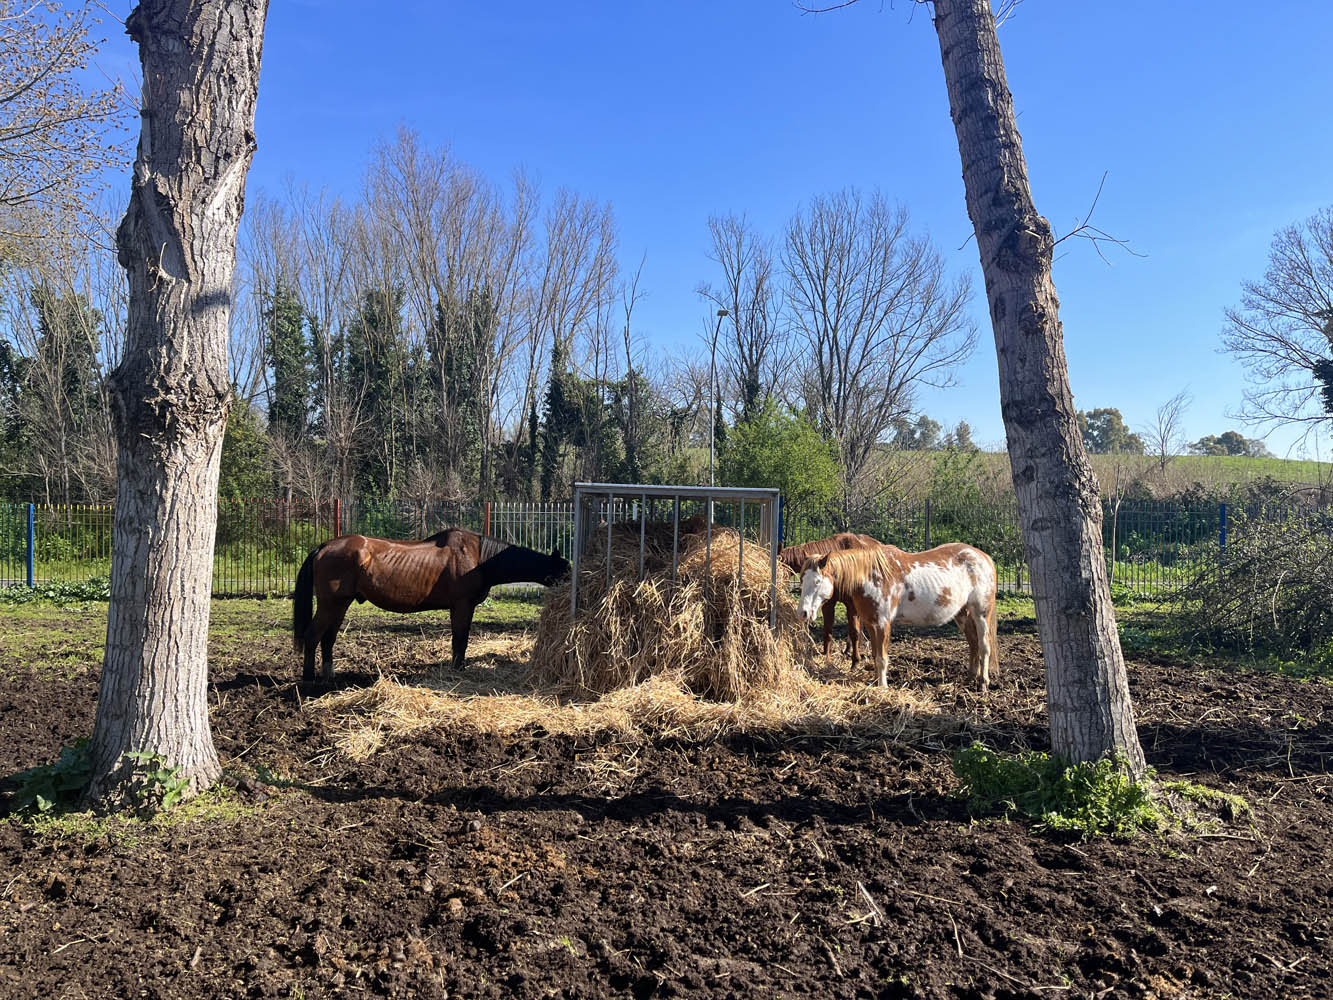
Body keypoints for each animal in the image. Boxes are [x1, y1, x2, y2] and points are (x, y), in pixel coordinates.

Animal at [291, 528, 567, 688]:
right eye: (565, 569)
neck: (480, 558)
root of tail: (323, 547)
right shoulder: (461, 606)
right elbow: (460, 640)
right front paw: (457, 671)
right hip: (330, 604)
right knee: (312, 636)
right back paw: (308, 680)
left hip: (340, 605)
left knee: (328, 639)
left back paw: (329, 677)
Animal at [778, 533, 879, 666]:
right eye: (801, 579)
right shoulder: (828, 604)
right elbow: (827, 631)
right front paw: (826, 657)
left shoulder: (852, 606)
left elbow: (854, 631)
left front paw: (856, 661)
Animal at [794, 544, 997, 693]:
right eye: (802, 579)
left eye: (817, 582)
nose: (803, 613)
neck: (871, 577)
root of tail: (984, 557)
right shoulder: (870, 623)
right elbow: (875, 655)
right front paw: (876, 681)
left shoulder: (883, 624)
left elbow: (882, 658)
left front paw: (883, 687)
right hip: (962, 614)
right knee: (973, 643)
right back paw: (971, 677)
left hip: (981, 613)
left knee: (984, 646)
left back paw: (983, 683)